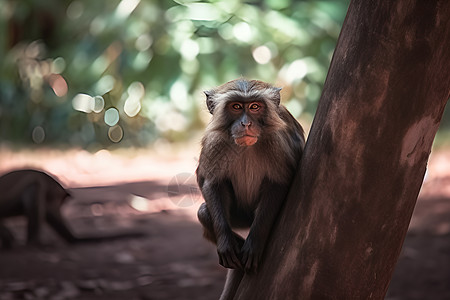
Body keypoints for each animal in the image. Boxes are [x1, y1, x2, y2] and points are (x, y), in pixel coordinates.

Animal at [195, 78, 304, 298]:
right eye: (236, 107)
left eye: (254, 107)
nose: (246, 123)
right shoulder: (215, 141)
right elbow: (212, 183)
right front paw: (226, 244)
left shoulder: (276, 143)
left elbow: (278, 183)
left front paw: (254, 243)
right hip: (240, 217)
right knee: (203, 211)